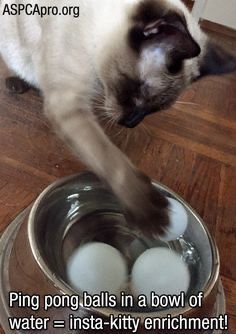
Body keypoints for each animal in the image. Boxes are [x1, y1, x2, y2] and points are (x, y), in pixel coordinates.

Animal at [0, 0, 236, 236]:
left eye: (154, 110)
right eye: (135, 93)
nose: (131, 123)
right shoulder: (69, 102)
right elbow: (110, 158)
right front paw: (149, 212)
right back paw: (17, 82)